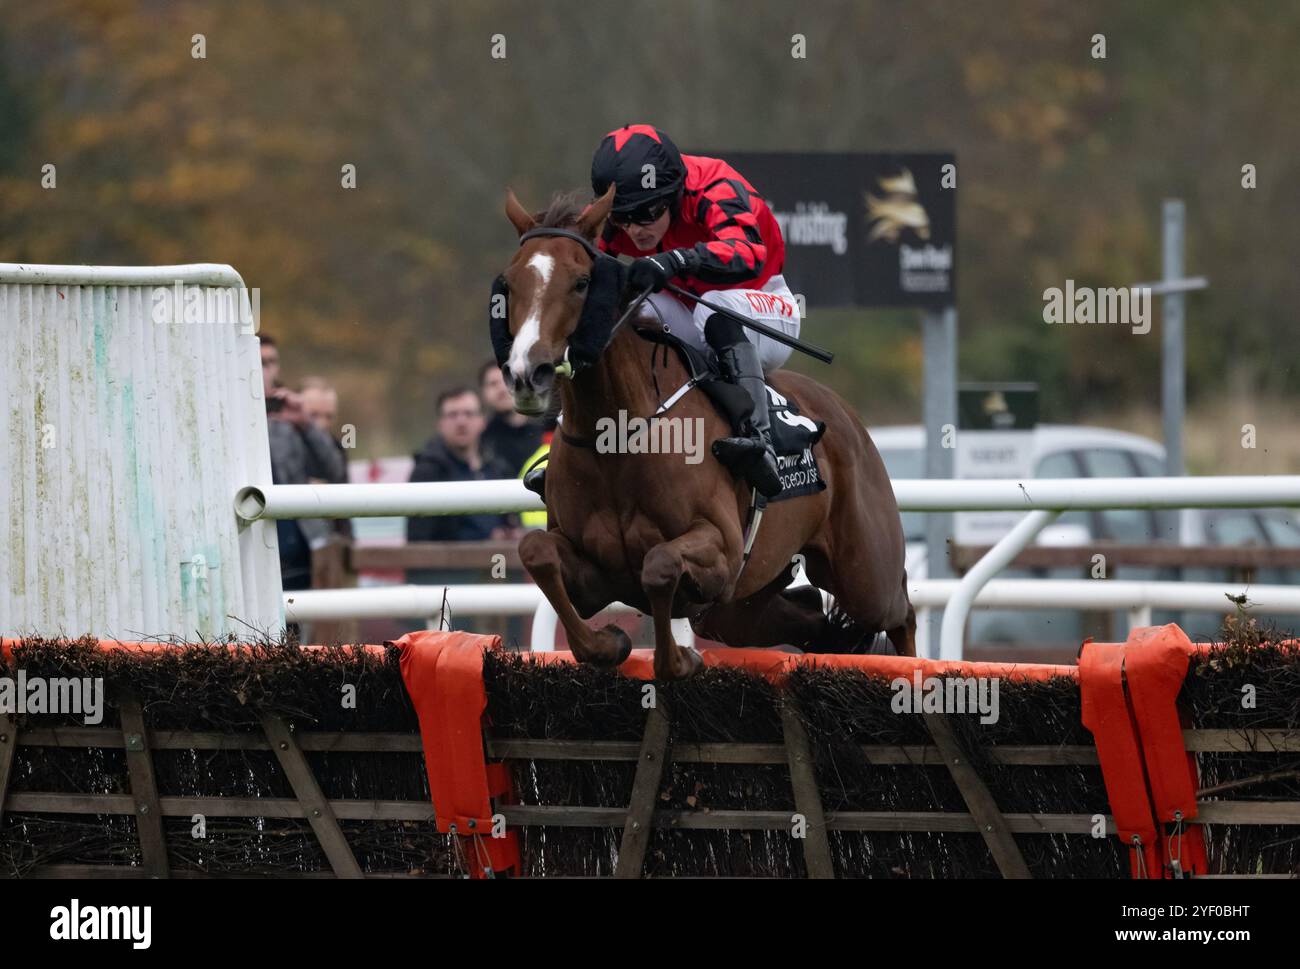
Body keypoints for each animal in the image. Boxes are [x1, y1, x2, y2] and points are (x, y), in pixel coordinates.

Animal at [496, 183, 915, 681]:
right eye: (510, 285)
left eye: (581, 282)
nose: (528, 373)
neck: (617, 437)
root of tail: (850, 420)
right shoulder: (592, 574)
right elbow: (536, 551)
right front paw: (607, 643)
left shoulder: (722, 550)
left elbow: (658, 565)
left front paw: (677, 658)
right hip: (740, 604)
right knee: (813, 616)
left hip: (864, 573)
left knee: (901, 613)